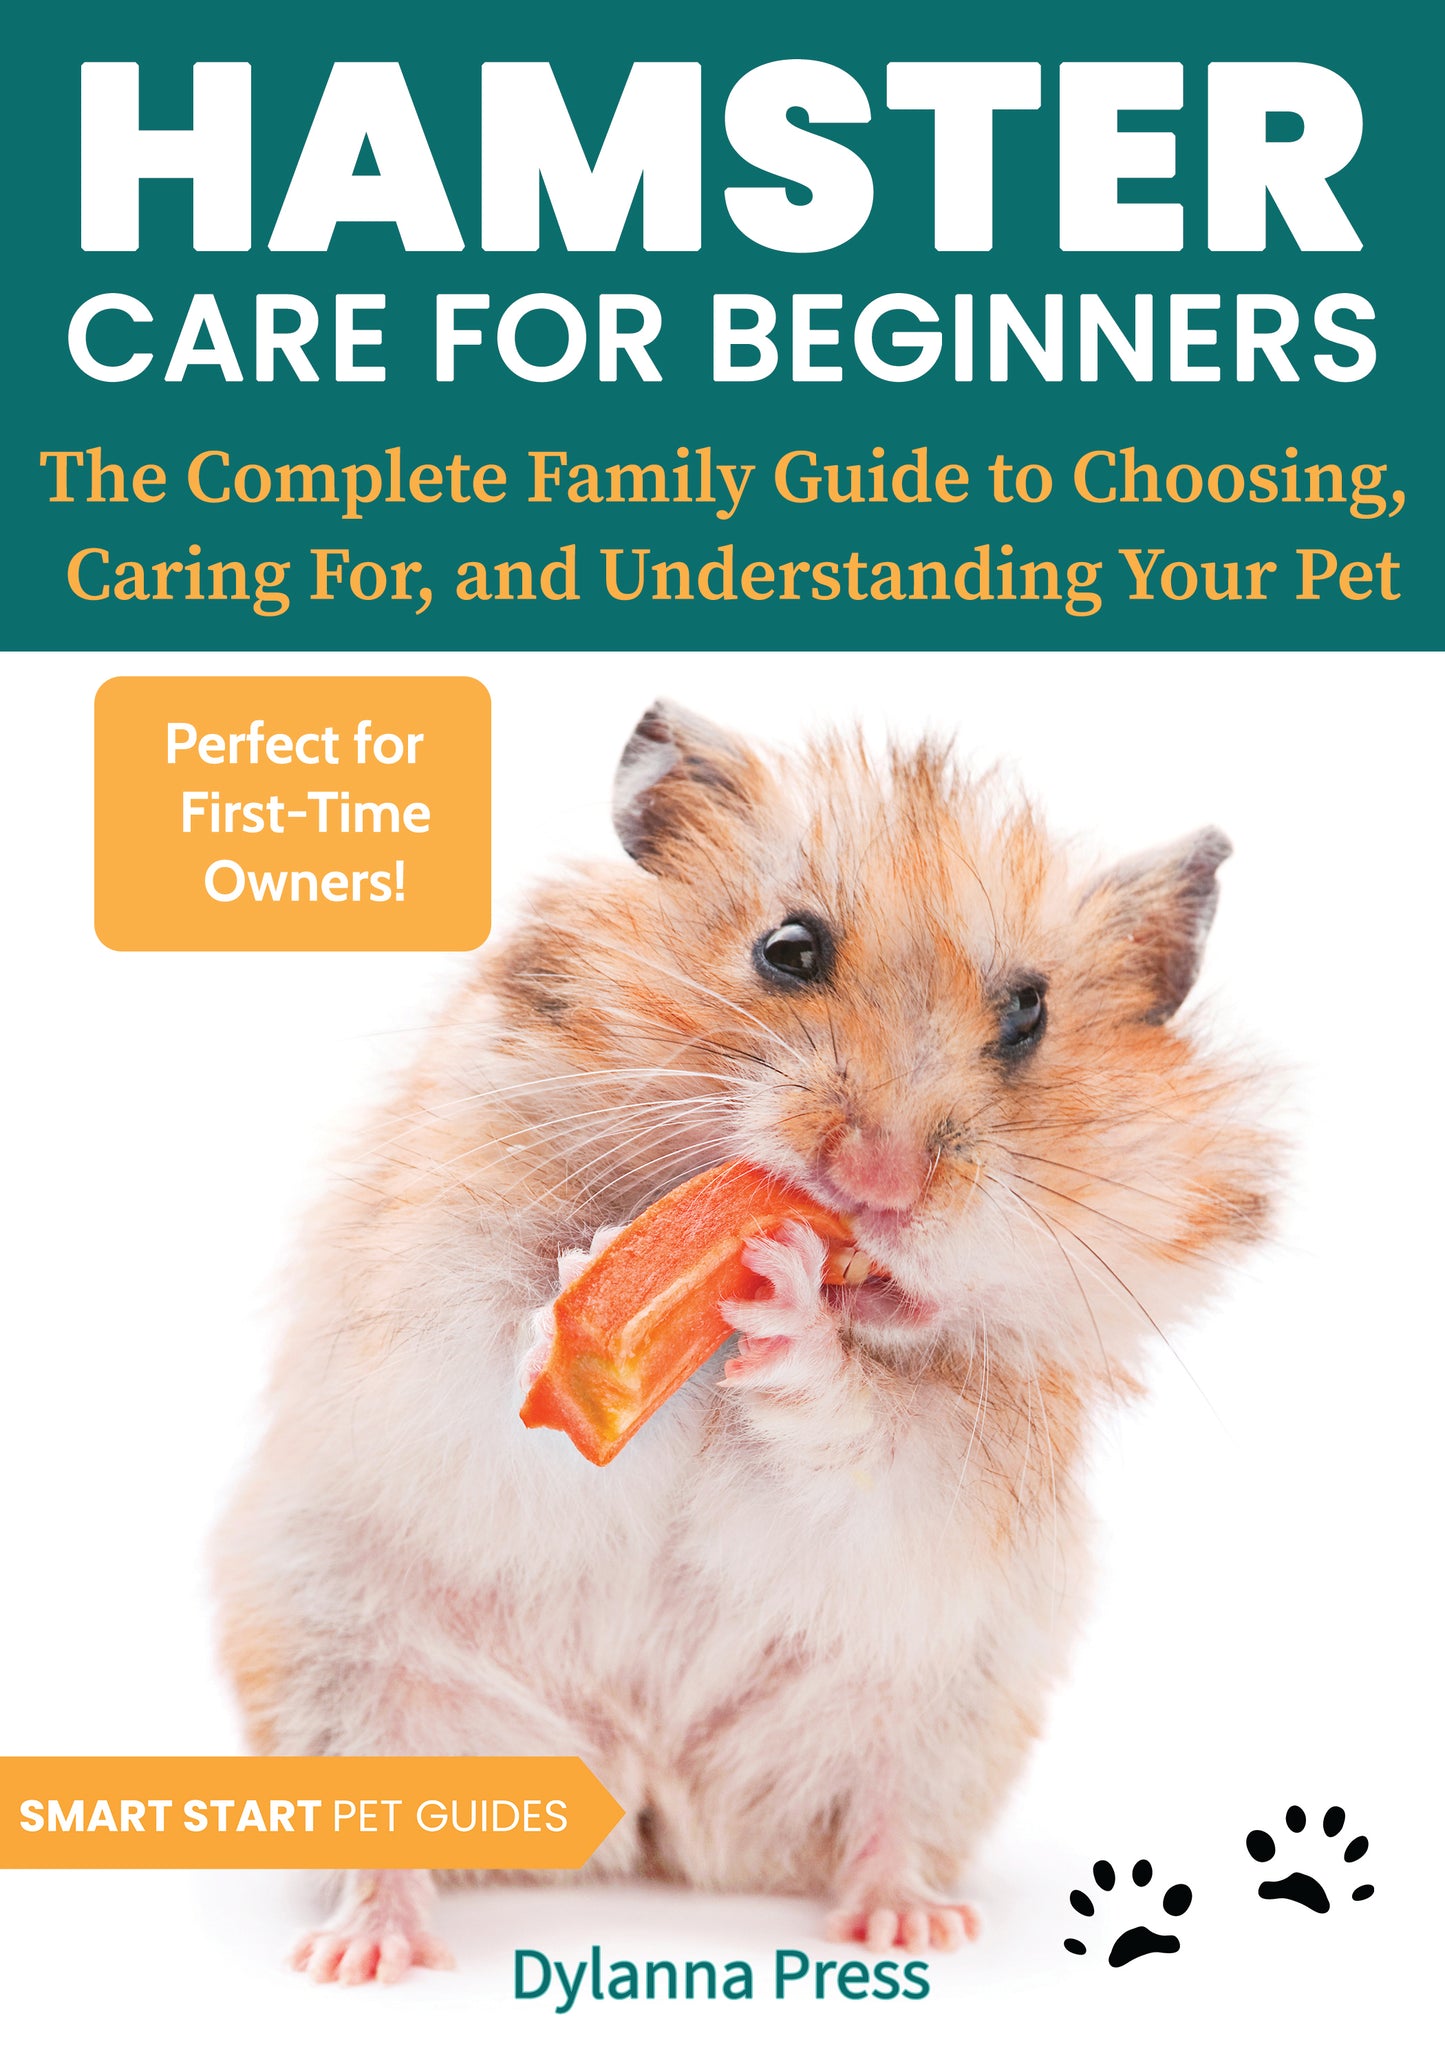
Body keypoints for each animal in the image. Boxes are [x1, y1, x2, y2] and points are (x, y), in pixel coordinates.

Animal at [212, 700, 1278, 1984]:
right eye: (788, 950)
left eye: (1027, 1015)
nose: (875, 1183)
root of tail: (643, 1797)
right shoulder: (419, 1333)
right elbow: (504, 1357)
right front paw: (593, 1275)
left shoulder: (958, 1466)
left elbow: (859, 1427)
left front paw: (783, 1300)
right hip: (339, 1664)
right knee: (385, 1828)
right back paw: (365, 1950)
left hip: (940, 1711)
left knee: (879, 1822)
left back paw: (908, 1923)